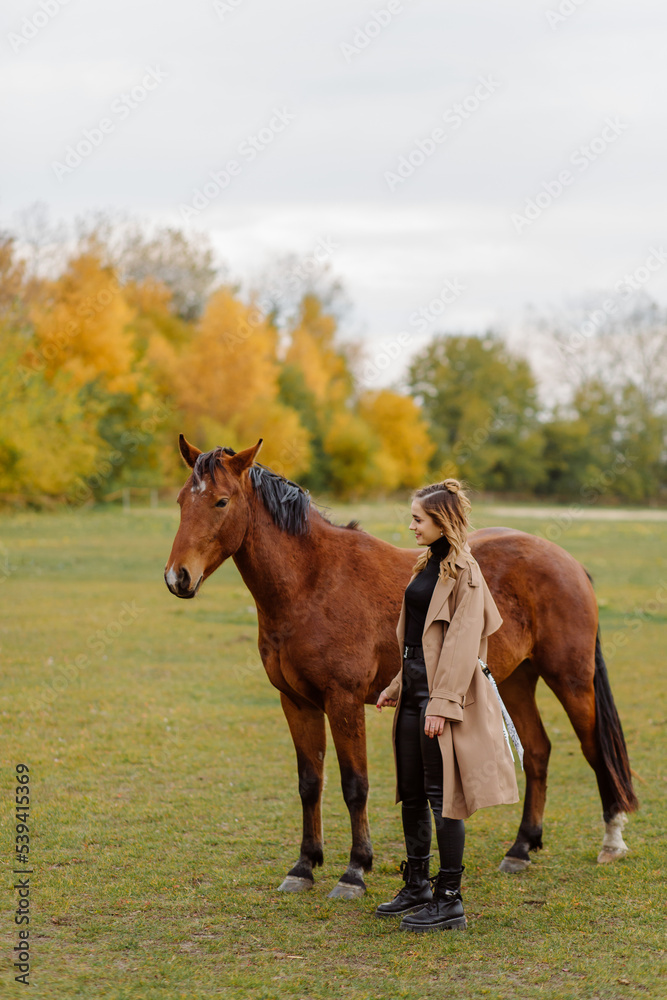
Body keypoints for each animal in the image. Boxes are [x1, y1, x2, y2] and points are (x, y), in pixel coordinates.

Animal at [164, 436, 638, 898]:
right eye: (182, 500)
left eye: (221, 501)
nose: (177, 578)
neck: (312, 581)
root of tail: (567, 561)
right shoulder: (296, 703)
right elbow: (310, 783)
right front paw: (303, 866)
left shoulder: (342, 701)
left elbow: (354, 785)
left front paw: (354, 871)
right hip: (516, 681)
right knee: (538, 752)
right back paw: (521, 848)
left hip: (571, 681)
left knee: (596, 751)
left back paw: (611, 841)